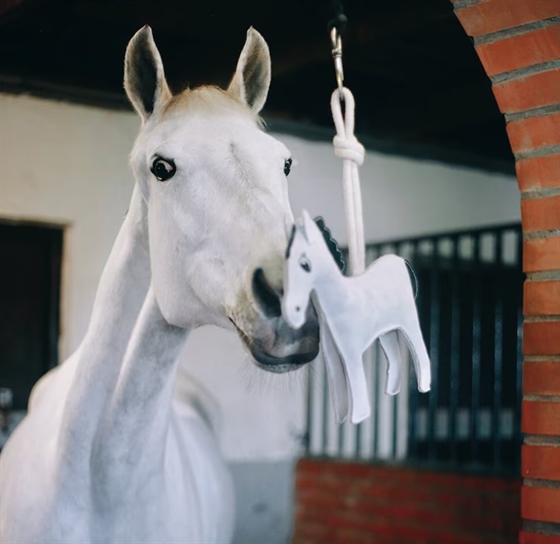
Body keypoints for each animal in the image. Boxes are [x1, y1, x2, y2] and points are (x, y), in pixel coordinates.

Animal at [282, 211, 430, 424]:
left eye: (304, 264)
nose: (293, 310)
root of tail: (401, 261)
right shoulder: (331, 356)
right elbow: (338, 389)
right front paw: (341, 418)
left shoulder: (350, 352)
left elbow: (356, 380)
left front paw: (360, 415)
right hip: (387, 332)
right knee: (394, 358)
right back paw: (392, 391)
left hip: (409, 323)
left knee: (420, 352)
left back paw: (424, 385)